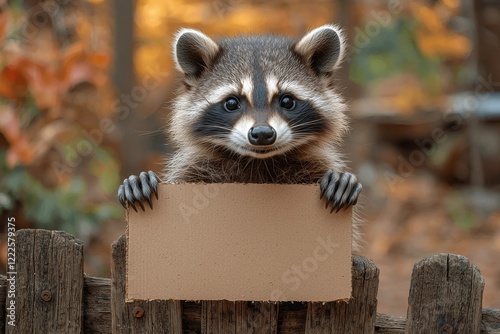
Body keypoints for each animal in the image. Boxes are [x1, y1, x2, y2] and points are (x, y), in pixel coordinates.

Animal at [119, 24, 366, 250]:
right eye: (231, 103)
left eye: (287, 101)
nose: (263, 134)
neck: (258, 162)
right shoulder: (194, 169)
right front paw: (140, 180)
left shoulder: (314, 164)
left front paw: (341, 179)